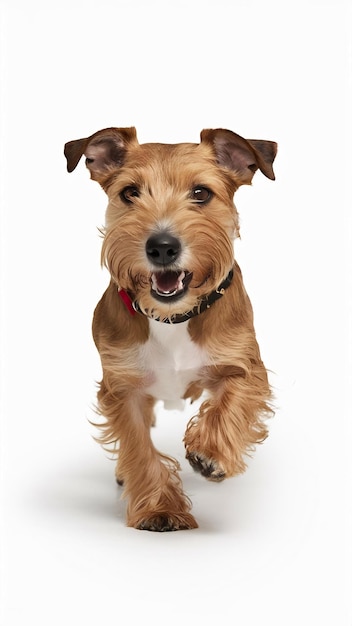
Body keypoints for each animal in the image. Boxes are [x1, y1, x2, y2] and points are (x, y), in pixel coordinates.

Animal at [64, 128, 278, 532]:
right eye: (130, 192)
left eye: (201, 193)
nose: (162, 247)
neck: (171, 317)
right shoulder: (122, 388)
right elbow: (138, 447)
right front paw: (159, 508)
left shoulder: (245, 365)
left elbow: (233, 400)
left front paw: (210, 453)